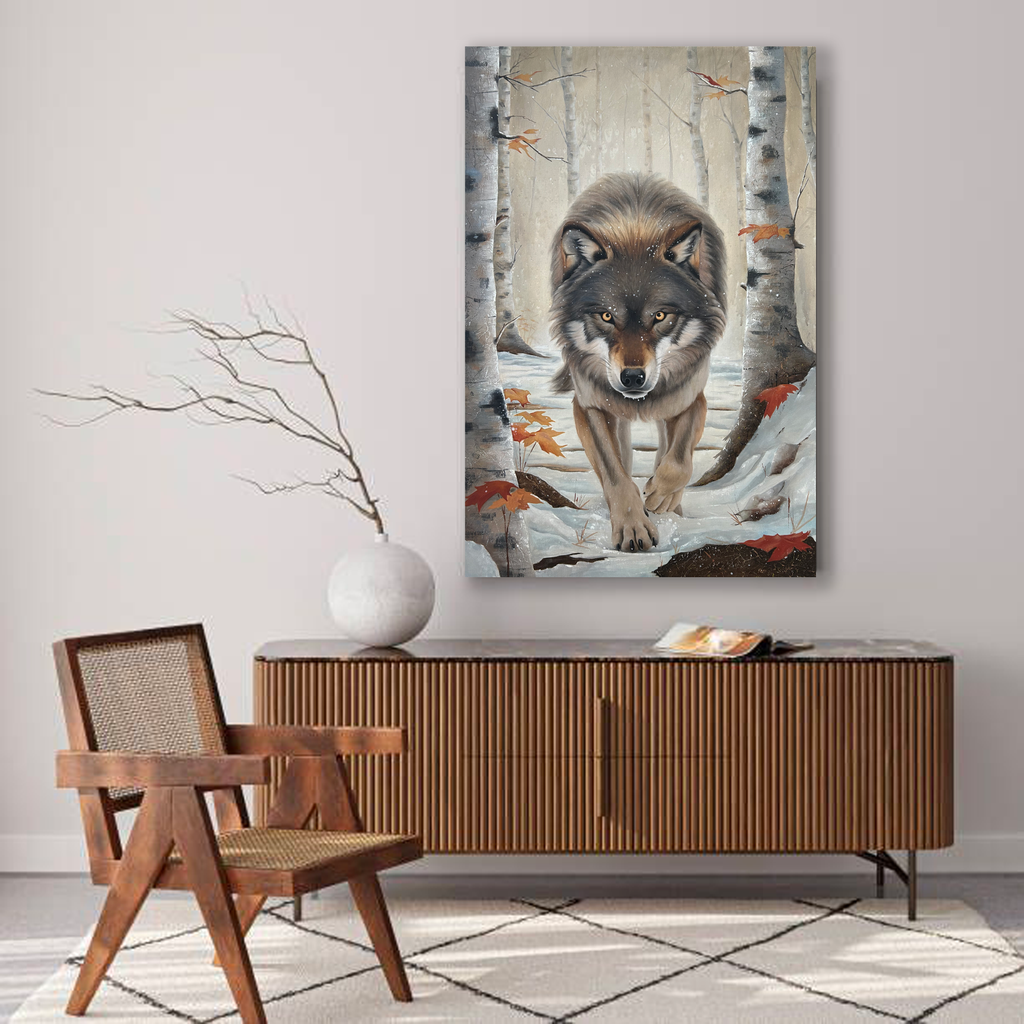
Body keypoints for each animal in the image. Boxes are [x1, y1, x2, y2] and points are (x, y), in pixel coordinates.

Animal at [549, 173, 727, 551]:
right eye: (606, 316)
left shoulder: (689, 396)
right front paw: (632, 526)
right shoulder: (589, 405)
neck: (634, 228)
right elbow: (614, 473)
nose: (632, 377)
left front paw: (661, 496)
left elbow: (678, 461)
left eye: (659, 316)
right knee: (624, 457)